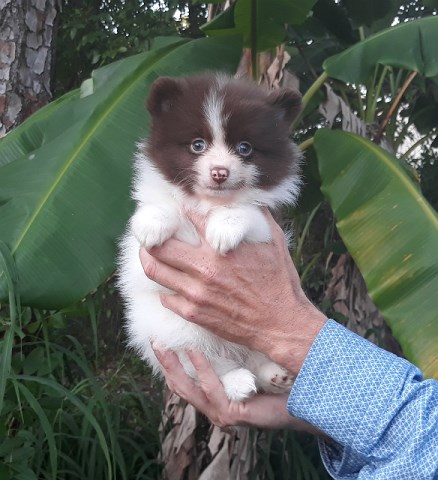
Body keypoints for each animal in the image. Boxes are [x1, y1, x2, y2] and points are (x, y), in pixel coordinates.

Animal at [120, 72, 304, 402]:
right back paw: (236, 381)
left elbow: (247, 211)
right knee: (209, 365)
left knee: (256, 357)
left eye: (244, 148)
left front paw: (225, 226)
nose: (220, 172)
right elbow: (166, 206)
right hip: (176, 330)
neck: (209, 203)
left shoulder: (268, 227)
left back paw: (274, 376)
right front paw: (152, 223)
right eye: (198, 145)